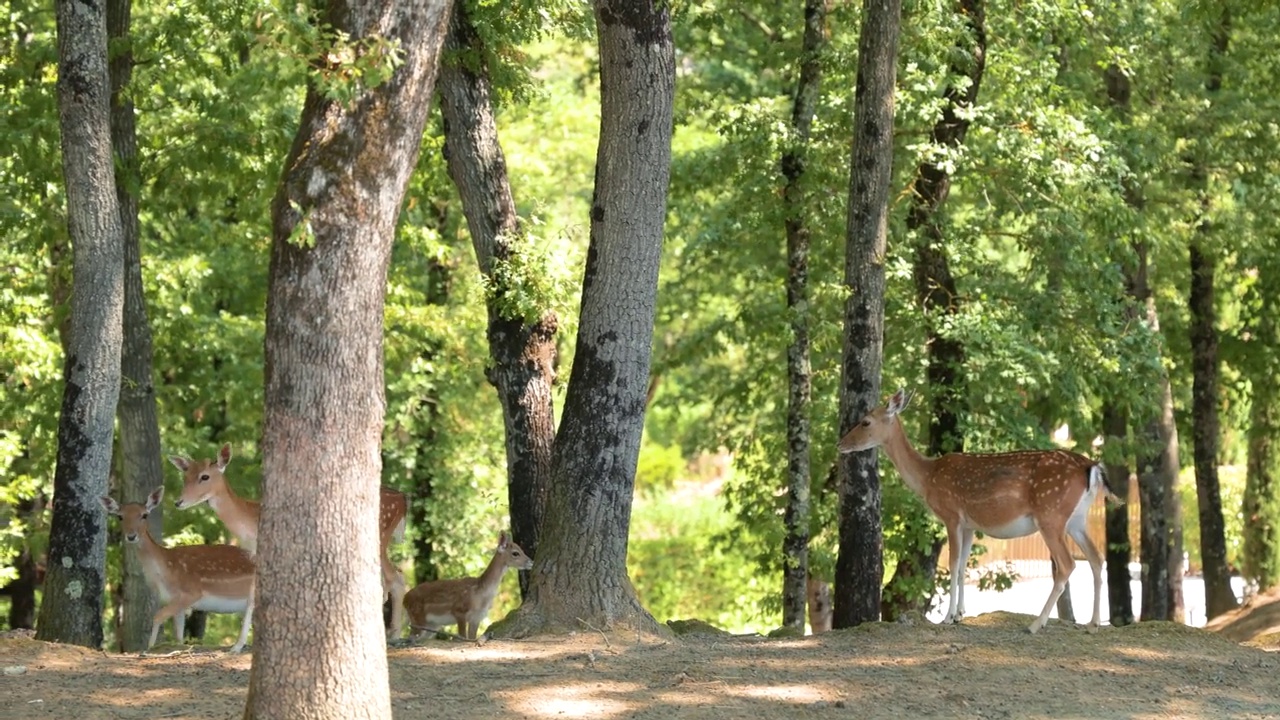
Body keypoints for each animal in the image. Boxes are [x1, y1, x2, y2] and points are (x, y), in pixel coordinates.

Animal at [101, 486, 256, 650]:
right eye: (120, 516)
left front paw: (149, 648)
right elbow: (178, 635)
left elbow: (157, 616)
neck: (164, 573)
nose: (131, 536)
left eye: (144, 515)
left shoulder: (192, 592)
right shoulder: (176, 602)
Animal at [168, 443, 409, 638]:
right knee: (394, 578)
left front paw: (240, 644)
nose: (178, 502)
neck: (249, 522)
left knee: (393, 580)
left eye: (205, 476)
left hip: (378, 537)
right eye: (184, 476)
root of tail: (403, 500)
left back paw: (393, 635)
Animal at [399, 527, 529, 638]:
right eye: (515, 553)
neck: (480, 595)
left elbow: (471, 638)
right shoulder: (459, 611)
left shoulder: (476, 618)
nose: (530, 562)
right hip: (417, 617)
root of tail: (404, 599)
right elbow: (462, 637)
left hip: (431, 625)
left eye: (522, 550)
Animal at [834, 389, 1116, 630]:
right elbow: (962, 566)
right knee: (1096, 558)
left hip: (1051, 515)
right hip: (1077, 519)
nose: (840, 444)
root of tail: (1091, 467)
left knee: (1068, 564)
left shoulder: (951, 515)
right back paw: (1093, 624)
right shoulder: (969, 525)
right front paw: (960, 614)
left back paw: (1036, 624)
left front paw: (947, 618)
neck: (928, 477)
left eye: (865, 422)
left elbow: (952, 563)